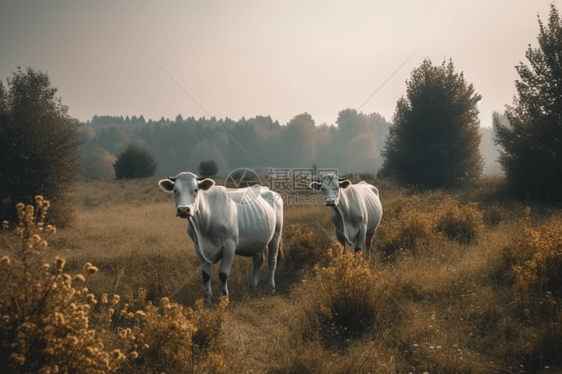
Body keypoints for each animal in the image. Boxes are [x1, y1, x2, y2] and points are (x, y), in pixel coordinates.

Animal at [158, 172, 282, 304]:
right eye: (175, 190)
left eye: (195, 190)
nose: (183, 210)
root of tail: (267, 189)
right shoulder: (198, 247)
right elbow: (206, 275)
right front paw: (207, 300)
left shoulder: (229, 245)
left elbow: (223, 274)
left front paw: (224, 299)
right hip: (256, 240)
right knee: (258, 261)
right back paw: (252, 287)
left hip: (276, 234)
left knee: (272, 260)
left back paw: (271, 287)